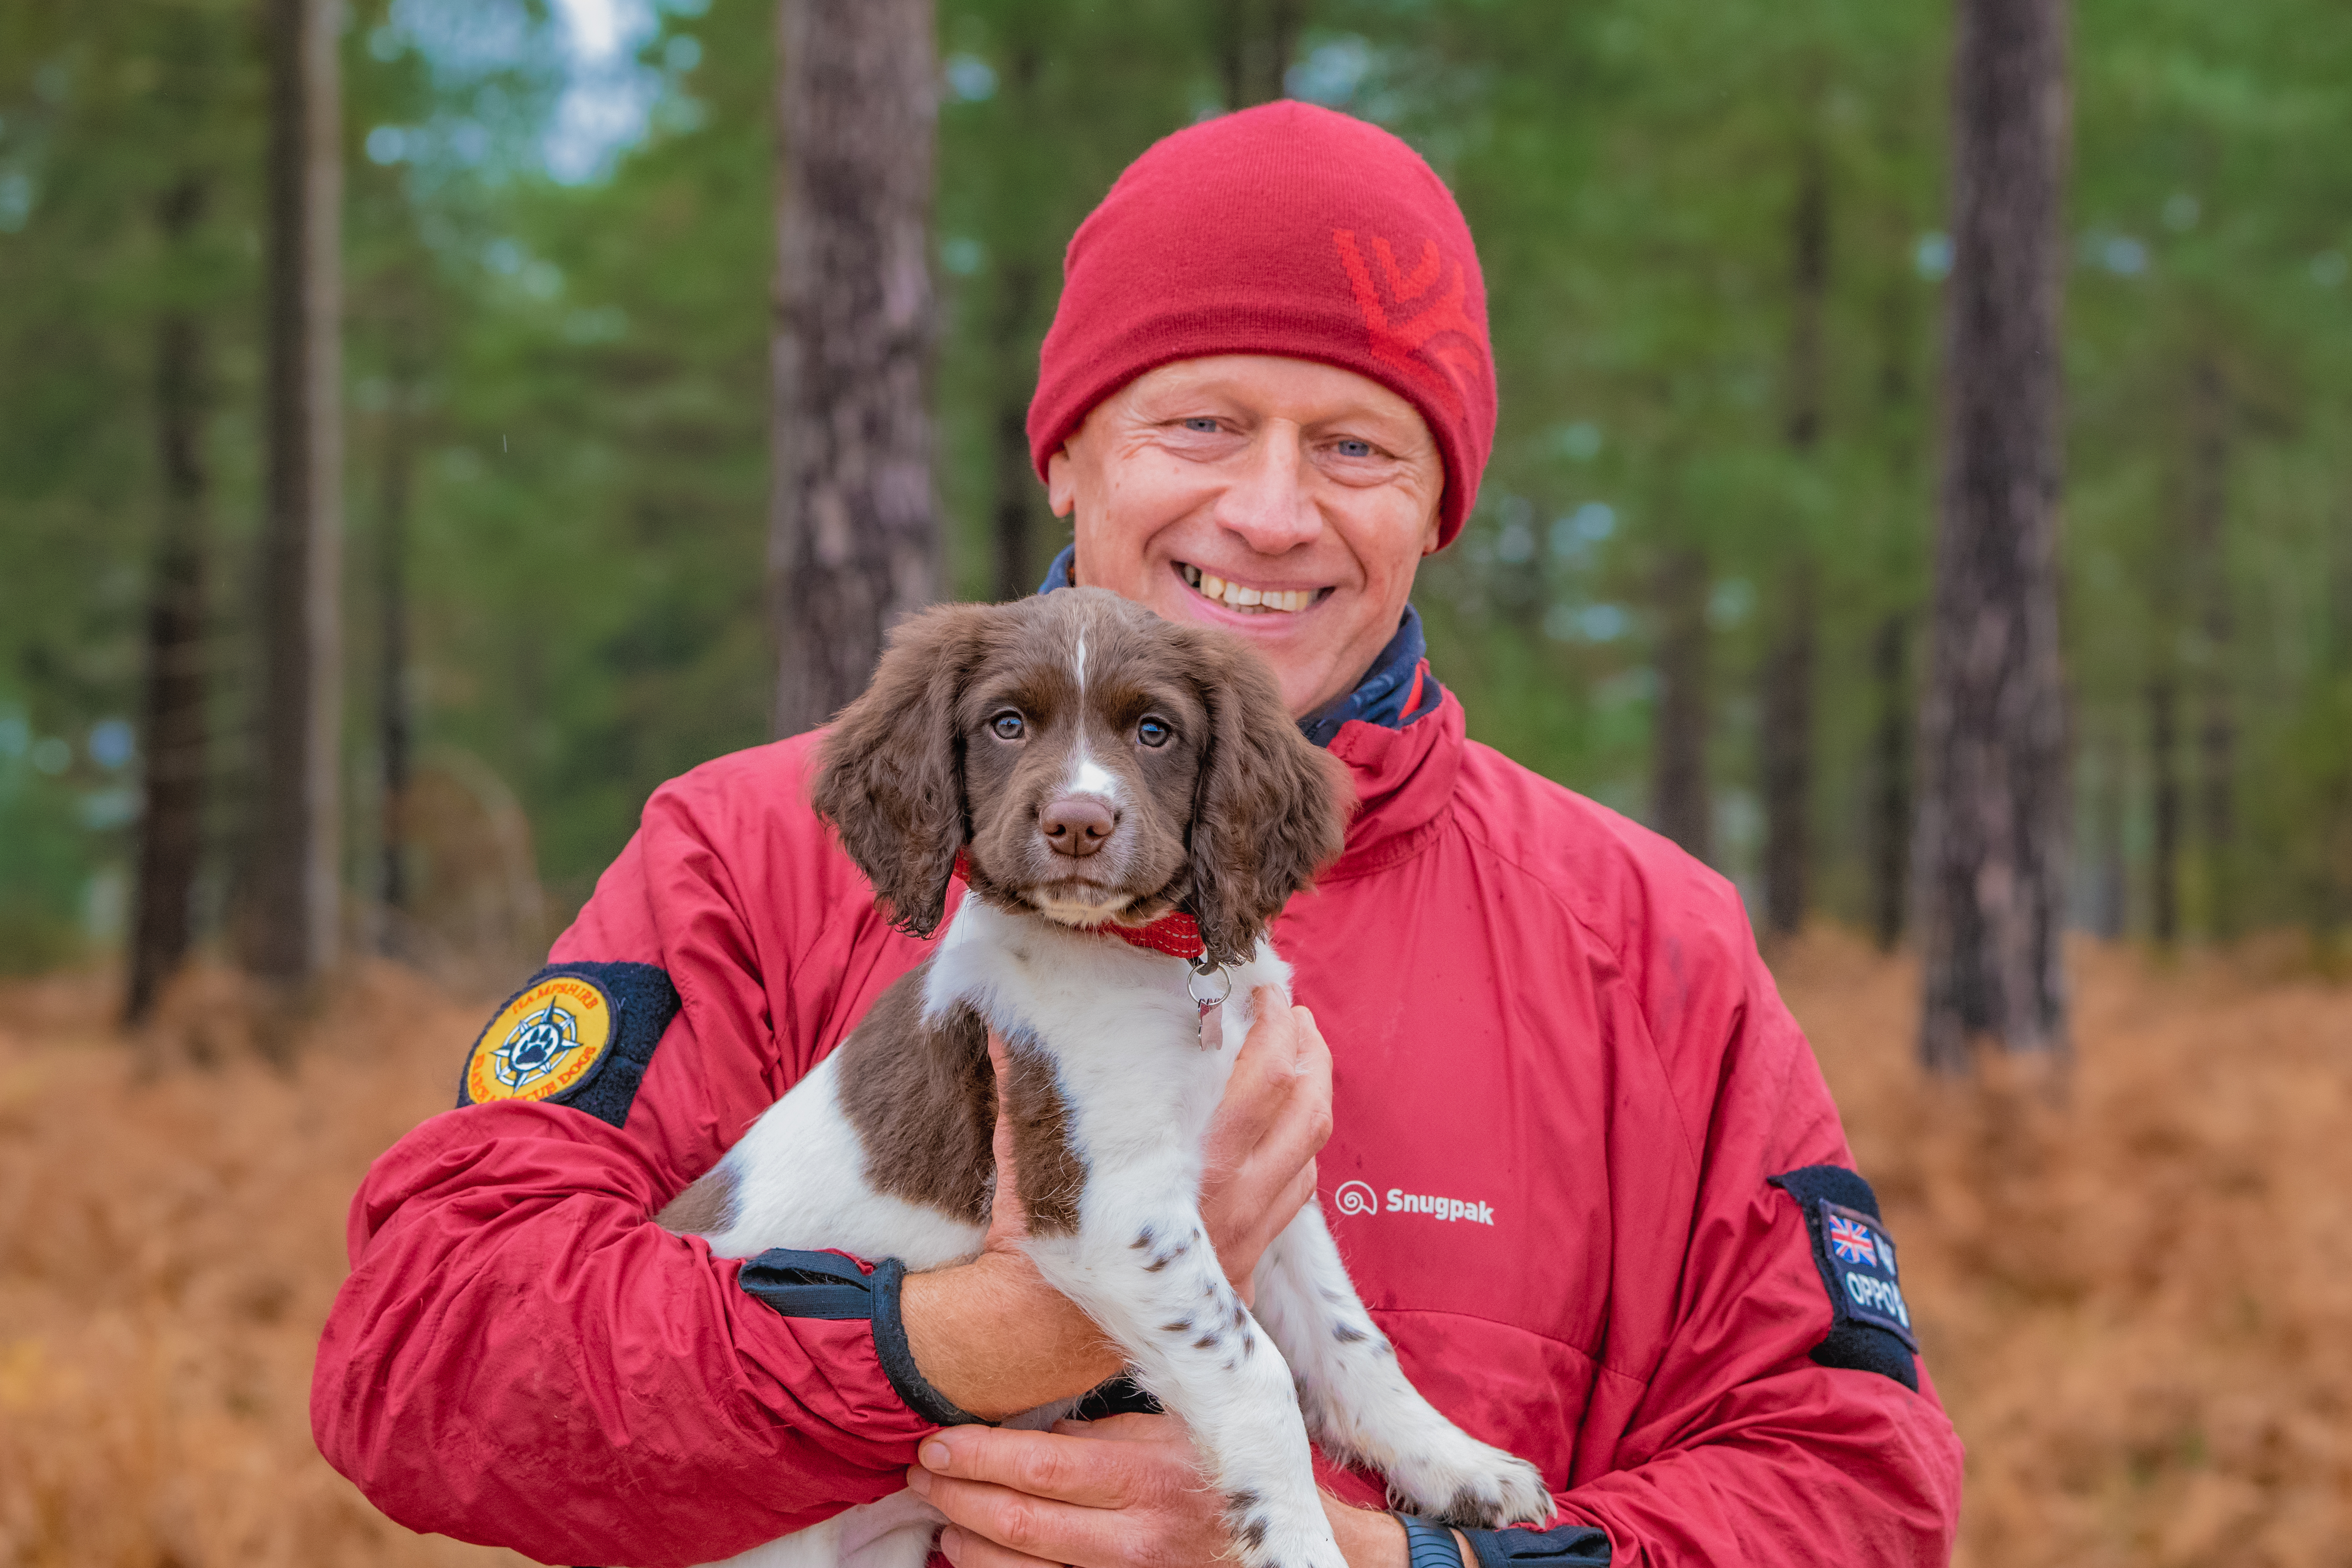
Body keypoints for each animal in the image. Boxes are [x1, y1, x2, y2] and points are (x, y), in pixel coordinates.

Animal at [668, 587, 1543, 1568]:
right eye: (1007, 723)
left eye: (1155, 731)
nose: (1078, 823)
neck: (1151, 959)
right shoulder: (1110, 1204)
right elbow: (1254, 1366)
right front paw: (1299, 1538)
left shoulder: (1269, 1172)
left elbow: (1348, 1330)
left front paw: (1457, 1464)